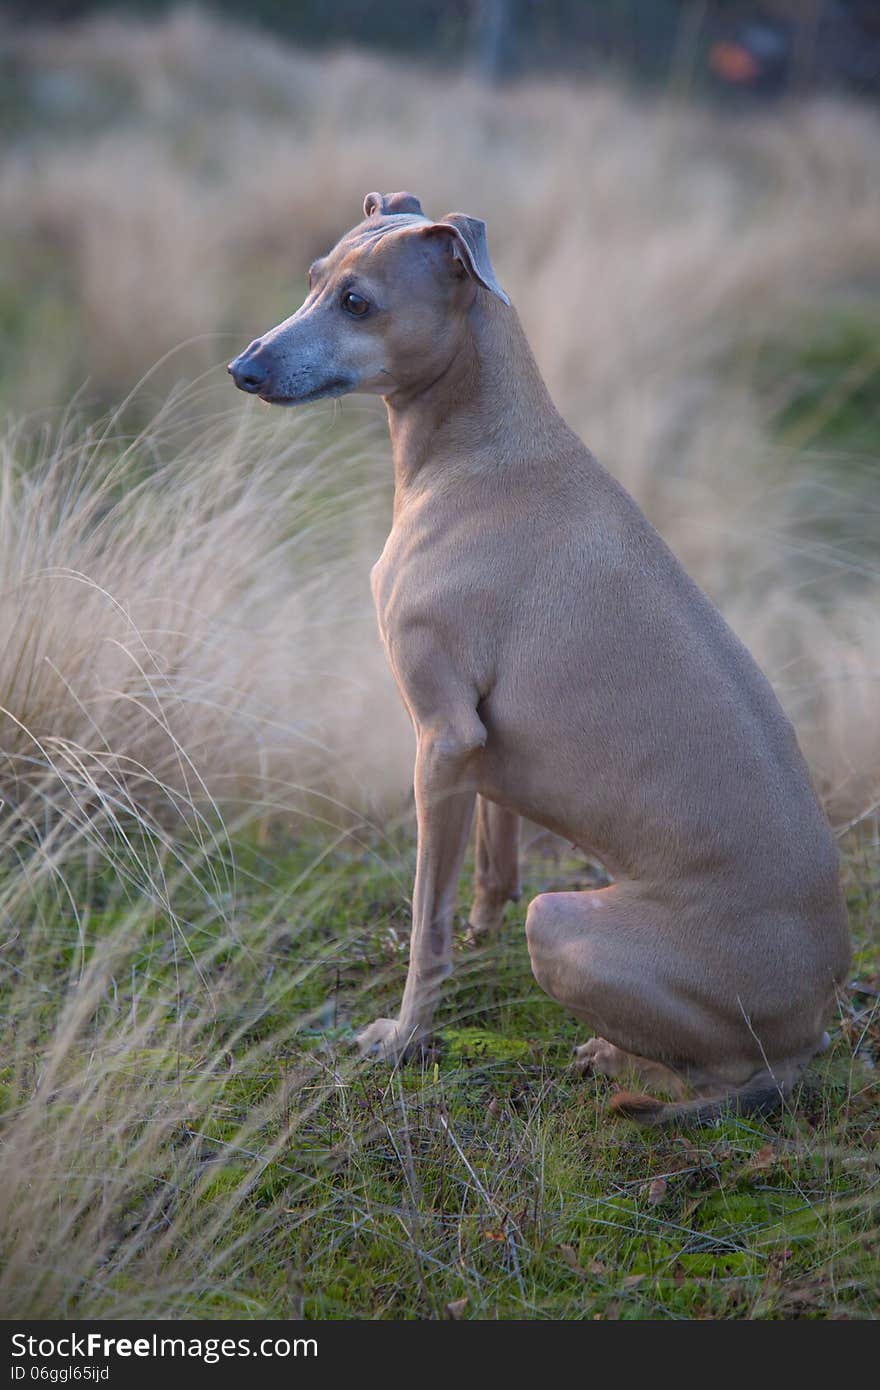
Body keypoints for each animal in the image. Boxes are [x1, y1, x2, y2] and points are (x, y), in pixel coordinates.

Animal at [229, 190, 845, 1123]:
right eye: (312, 279)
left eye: (358, 304)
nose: (243, 368)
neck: (485, 457)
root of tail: (811, 1029)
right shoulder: (478, 753)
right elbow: (491, 866)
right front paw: (477, 940)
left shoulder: (438, 739)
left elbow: (428, 922)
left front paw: (404, 1036)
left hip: (563, 923)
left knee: (713, 1076)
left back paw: (618, 1063)